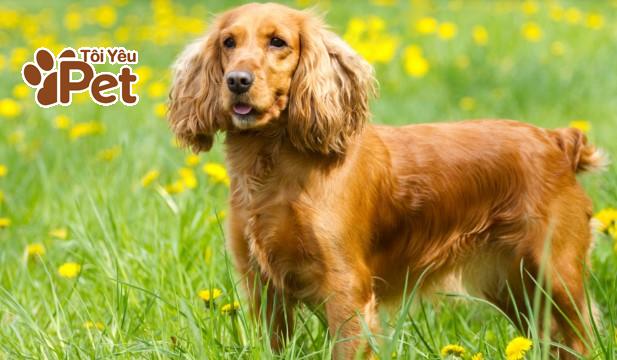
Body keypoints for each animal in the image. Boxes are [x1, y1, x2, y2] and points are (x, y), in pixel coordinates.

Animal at [166, 2, 604, 358]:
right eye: (228, 42)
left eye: (278, 42)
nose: (237, 80)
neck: (275, 168)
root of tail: (557, 140)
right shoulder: (262, 287)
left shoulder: (347, 291)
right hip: (515, 287)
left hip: (556, 275)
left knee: (582, 338)